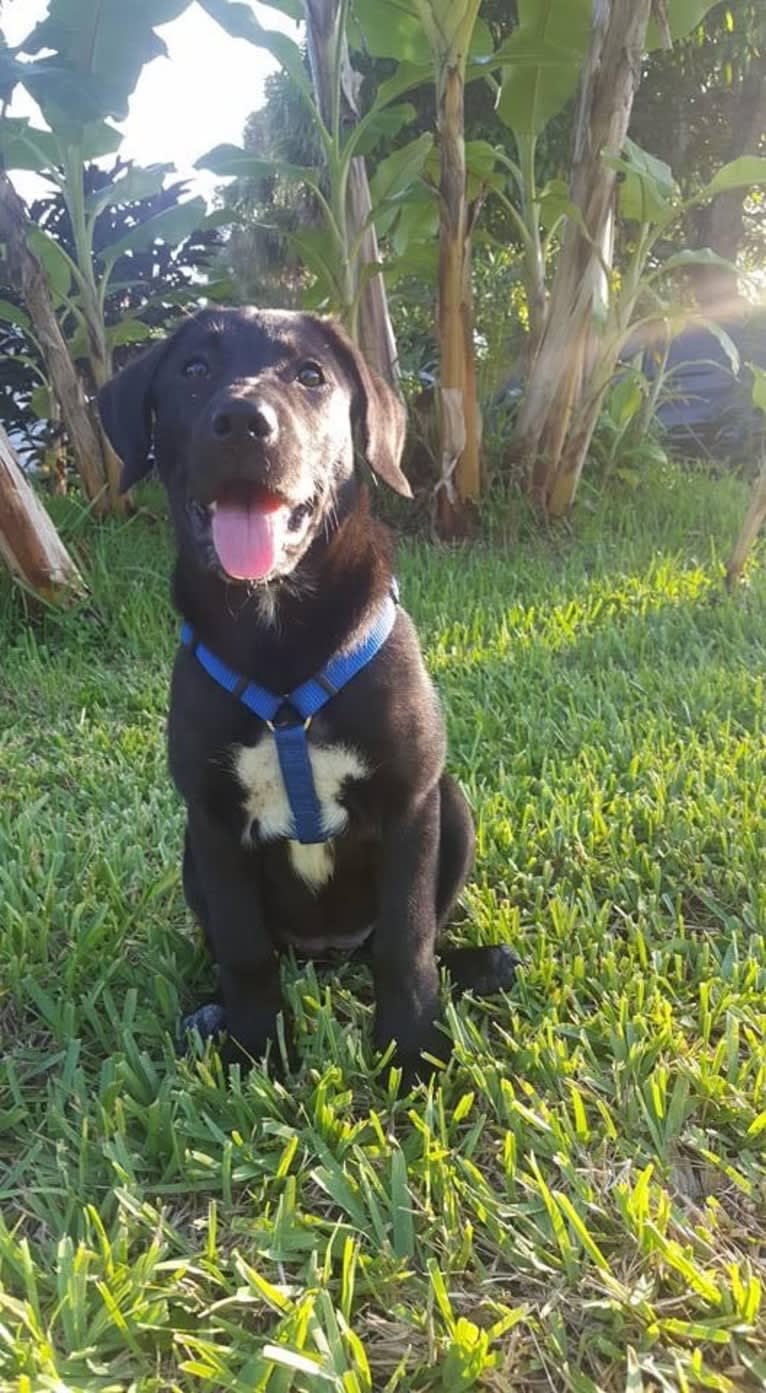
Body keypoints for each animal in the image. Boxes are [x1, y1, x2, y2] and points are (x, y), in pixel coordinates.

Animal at [96, 310, 515, 1080]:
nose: (241, 421)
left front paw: (412, 1051)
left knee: (408, 939)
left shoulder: (412, 802)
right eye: (194, 370)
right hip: (190, 854)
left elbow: (405, 942)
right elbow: (245, 950)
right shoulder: (213, 821)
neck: (278, 627)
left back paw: (479, 966)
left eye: (311, 375)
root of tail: (327, 956)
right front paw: (256, 1046)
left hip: (454, 807)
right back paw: (209, 1011)